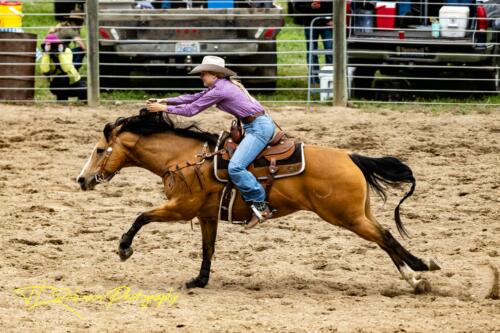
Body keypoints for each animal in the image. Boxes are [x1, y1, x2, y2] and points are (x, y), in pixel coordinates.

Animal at [76, 110, 440, 292]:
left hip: (346, 217)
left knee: (385, 237)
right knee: (384, 239)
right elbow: (208, 249)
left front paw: (124, 249)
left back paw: (423, 267)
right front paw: (200, 280)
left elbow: (141, 216)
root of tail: (350, 156)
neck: (184, 157)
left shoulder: (181, 207)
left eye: (99, 150)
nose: (81, 179)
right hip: (358, 213)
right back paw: (414, 277)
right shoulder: (207, 215)